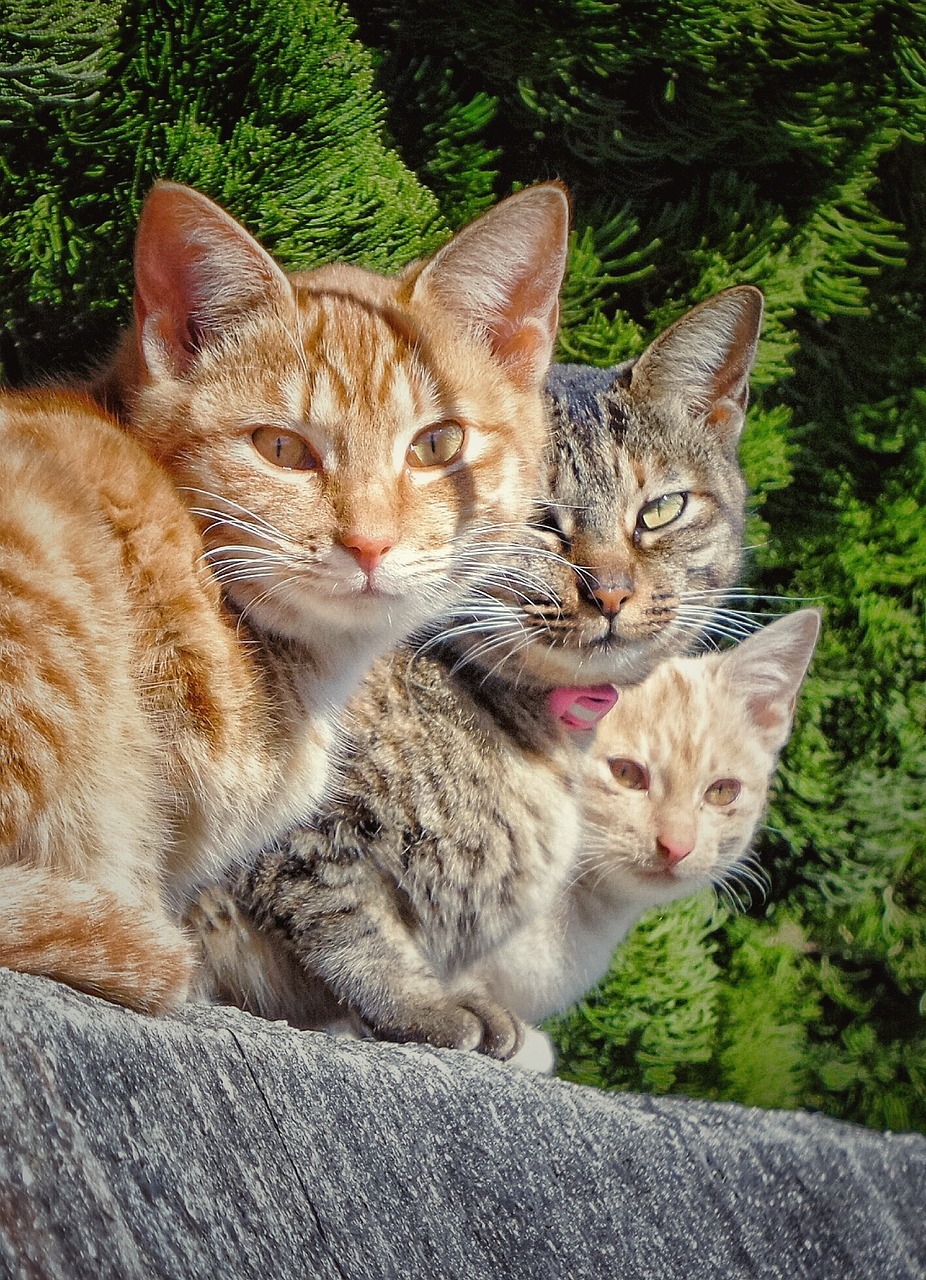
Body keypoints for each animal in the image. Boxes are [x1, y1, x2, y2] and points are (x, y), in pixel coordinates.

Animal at [192, 285, 763, 1054]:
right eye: (533, 516)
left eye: (661, 510)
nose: (611, 592)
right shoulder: (289, 821)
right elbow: (337, 910)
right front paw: (421, 1003)